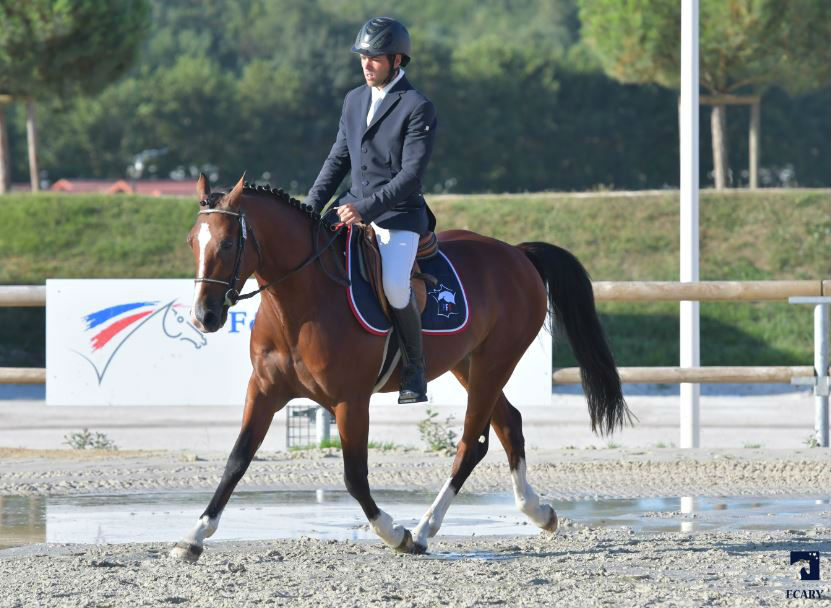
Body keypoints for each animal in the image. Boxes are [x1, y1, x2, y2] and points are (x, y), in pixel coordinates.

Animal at [172, 172, 632, 560]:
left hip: (493, 362)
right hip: (467, 365)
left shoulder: (351, 401)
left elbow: (355, 476)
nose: (205, 316)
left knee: (471, 444)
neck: (301, 303)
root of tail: (517, 254)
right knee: (508, 424)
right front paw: (193, 536)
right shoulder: (265, 391)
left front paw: (395, 533)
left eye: (227, 244)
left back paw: (426, 529)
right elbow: (237, 460)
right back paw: (538, 511)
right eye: (193, 241)